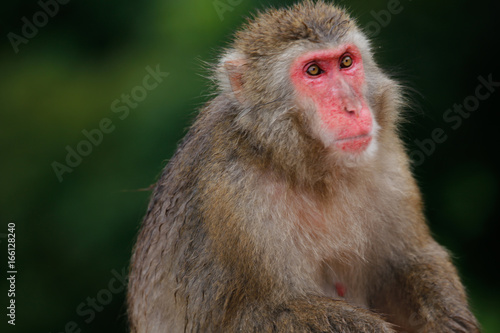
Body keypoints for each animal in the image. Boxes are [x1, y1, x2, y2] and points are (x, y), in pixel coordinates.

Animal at [128, 1, 480, 330]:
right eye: (313, 71)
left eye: (346, 62)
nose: (352, 107)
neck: (308, 168)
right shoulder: (233, 196)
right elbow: (252, 315)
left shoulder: (388, 162)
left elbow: (407, 262)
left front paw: (451, 320)